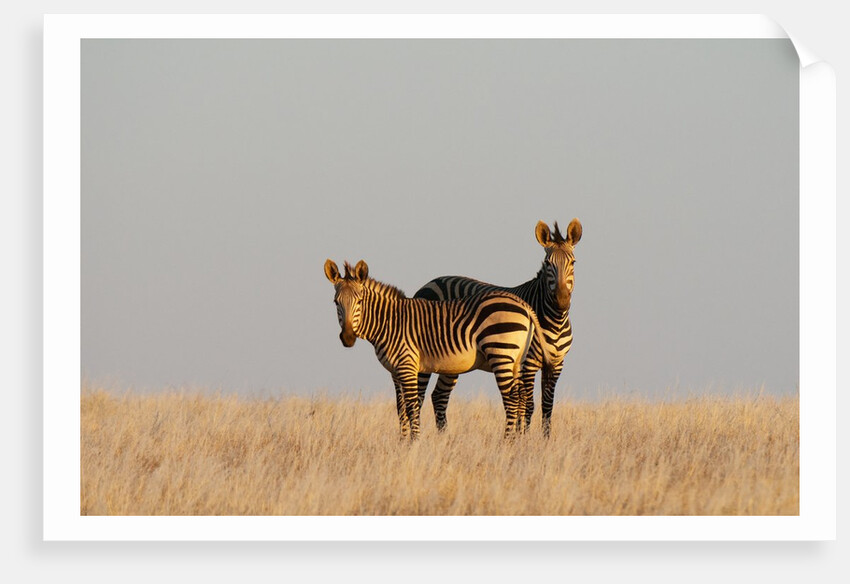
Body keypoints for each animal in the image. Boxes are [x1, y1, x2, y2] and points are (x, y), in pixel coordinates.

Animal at [324, 258, 550, 439]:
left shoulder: (407, 366)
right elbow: (400, 408)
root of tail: (524, 305)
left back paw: (506, 441)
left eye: (360, 301)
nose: (348, 337)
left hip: (500, 353)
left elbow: (412, 407)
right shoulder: (395, 371)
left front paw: (414, 443)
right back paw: (518, 441)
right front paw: (402, 442)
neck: (389, 323)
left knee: (511, 398)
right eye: (335, 302)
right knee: (521, 396)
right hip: (517, 359)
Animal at [414, 218, 582, 437]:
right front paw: (524, 439)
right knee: (419, 395)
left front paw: (545, 440)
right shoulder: (527, 364)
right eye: (547, 264)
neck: (555, 321)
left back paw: (444, 438)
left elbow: (547, 406)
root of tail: (431, 282)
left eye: (573, 263)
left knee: (439, 396)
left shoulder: (556, 364)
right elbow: (527, 405)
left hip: (451, 360)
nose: (561, 301)